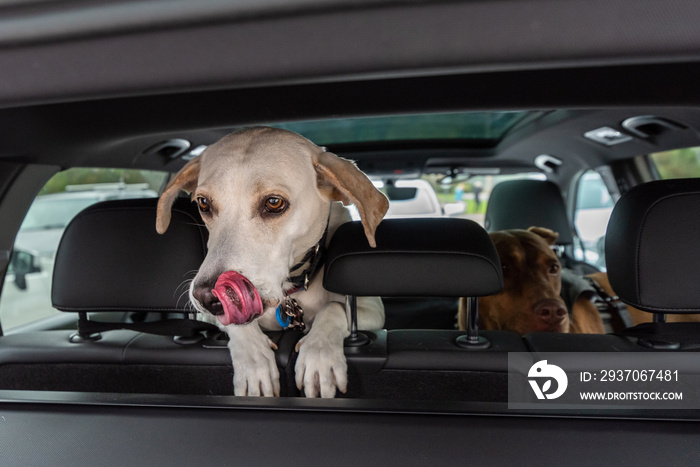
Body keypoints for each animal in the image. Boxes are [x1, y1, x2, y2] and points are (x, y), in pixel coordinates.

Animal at [156, 128, 388, 398]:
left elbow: (334, 308)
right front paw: (253, 362)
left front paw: (319, 355)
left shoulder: (373, 310)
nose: (206, 296)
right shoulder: (209, 319)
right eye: (203, 203)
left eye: (274, 202)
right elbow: (236, 326)